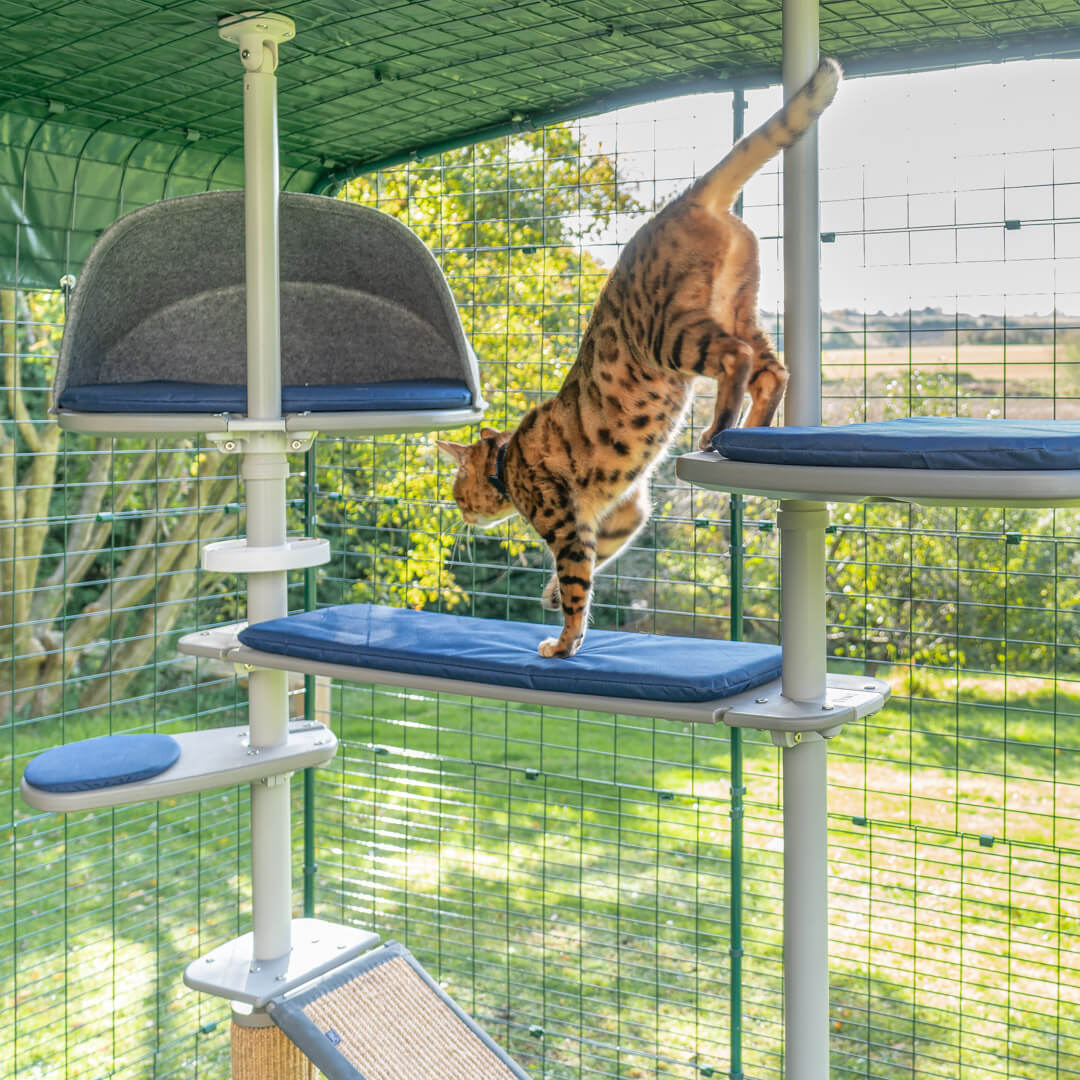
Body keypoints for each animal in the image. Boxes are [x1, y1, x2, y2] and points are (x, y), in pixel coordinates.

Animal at [434, 59, 838, 656]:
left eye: (458, 490)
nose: (462, 514)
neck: (510, 457)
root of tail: (683, 201)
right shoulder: (622, 512)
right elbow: (592, 565)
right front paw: (551, 599)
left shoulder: (565, 520)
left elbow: (578, 583)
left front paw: (563, 643)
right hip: (740, 304)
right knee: (772, 367)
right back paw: (753, 432)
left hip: (669, 334)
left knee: (737, 359)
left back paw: (719, 430)